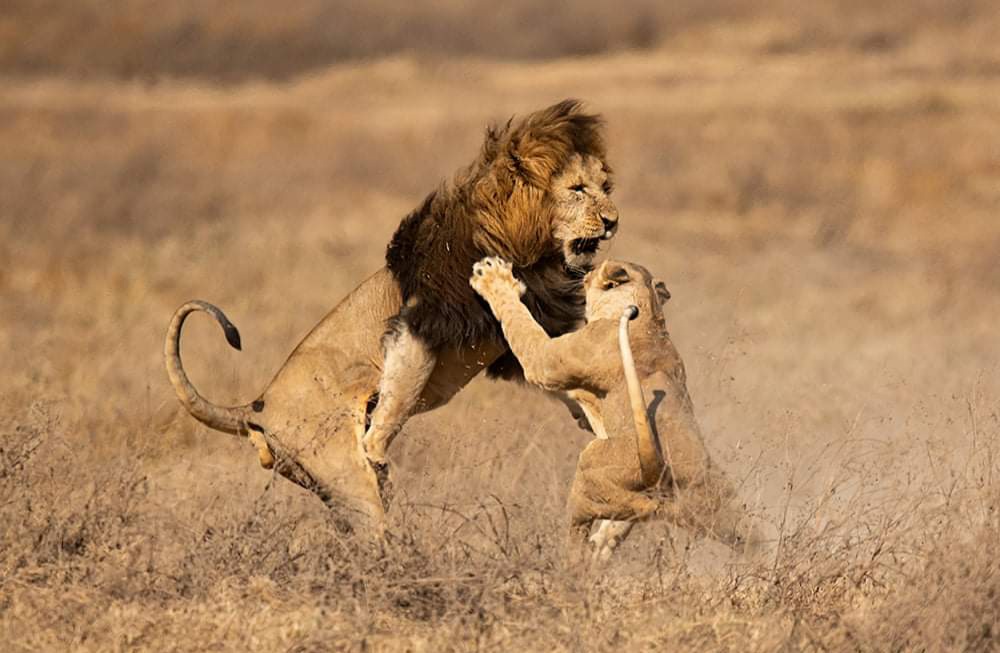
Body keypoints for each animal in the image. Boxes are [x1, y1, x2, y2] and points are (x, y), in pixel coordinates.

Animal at [164, 100, 618, 533]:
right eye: (577, 189)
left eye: (605, 187)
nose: (613, 221)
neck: (532, 250)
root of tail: (255, 408)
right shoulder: (421, 320)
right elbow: (399, 391)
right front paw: (376, 445)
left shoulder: (521, 338)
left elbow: (566, 383)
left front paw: (599, 423)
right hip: (344, 477)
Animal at [469, 257, 763, 560]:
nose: (580, 270)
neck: (647, 313)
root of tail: (659, 474)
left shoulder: (547, 362)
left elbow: (521, 325)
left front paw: (493, 277)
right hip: (730, 519)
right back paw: (603, 543)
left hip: (588, 467)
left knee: (576, 539)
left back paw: (574, 560)